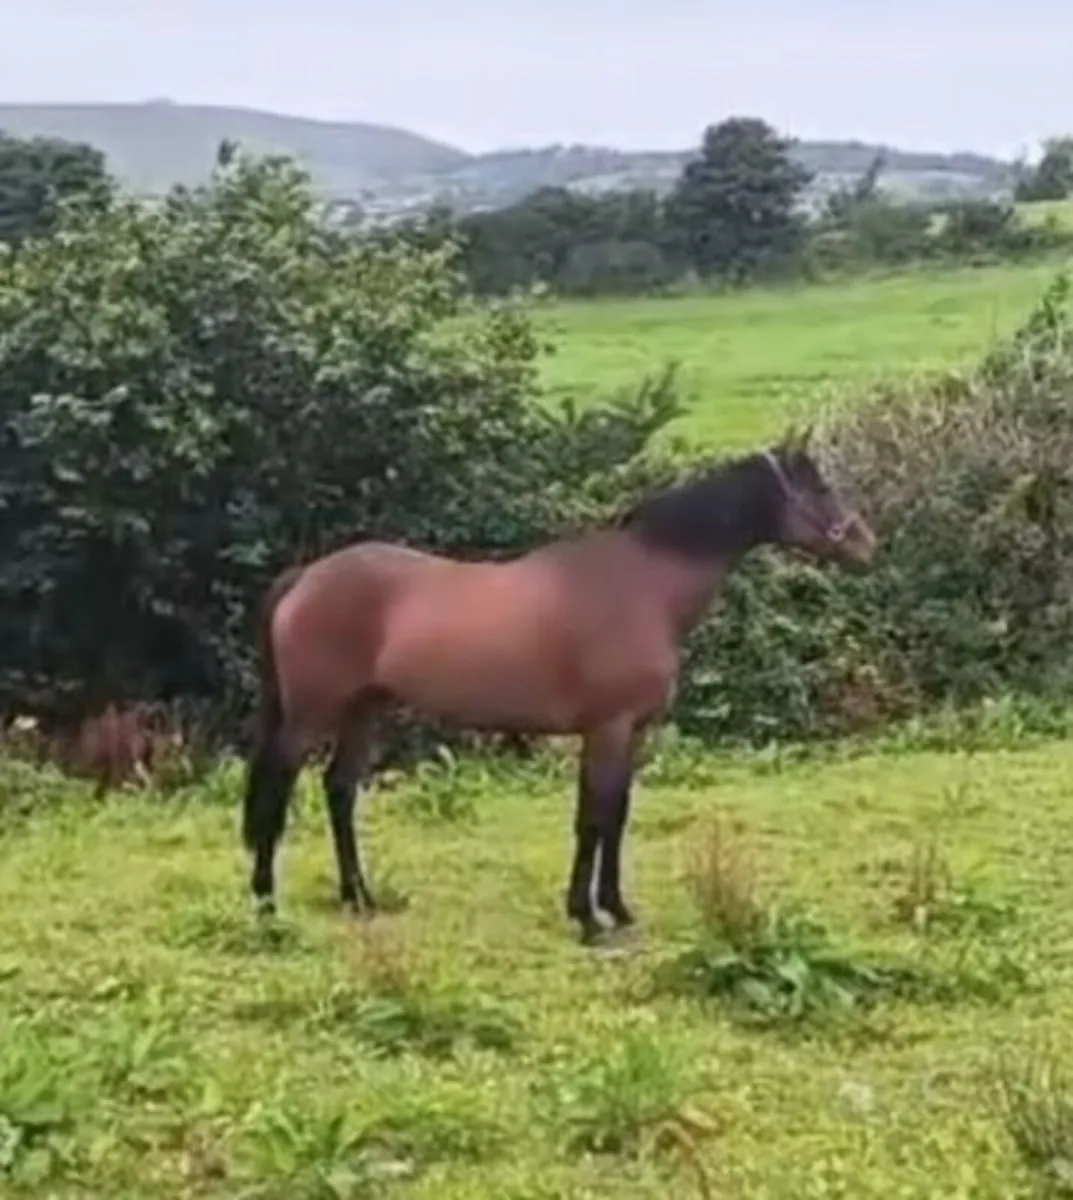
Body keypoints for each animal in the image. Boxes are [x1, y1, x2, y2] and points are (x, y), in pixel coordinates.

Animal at [240, 428, 876, 944]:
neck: (641, 585)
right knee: (277, 789)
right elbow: (592, 816)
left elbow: (617, 813)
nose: (866, 544)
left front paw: (616, 909)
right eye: (818, 486)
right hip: (310, 715)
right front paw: (587, 918)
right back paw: (266, 904)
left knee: (340, 790)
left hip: (363, 710)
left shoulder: (632, 732)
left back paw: (359, 898)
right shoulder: (606, 728)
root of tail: (307, 576)